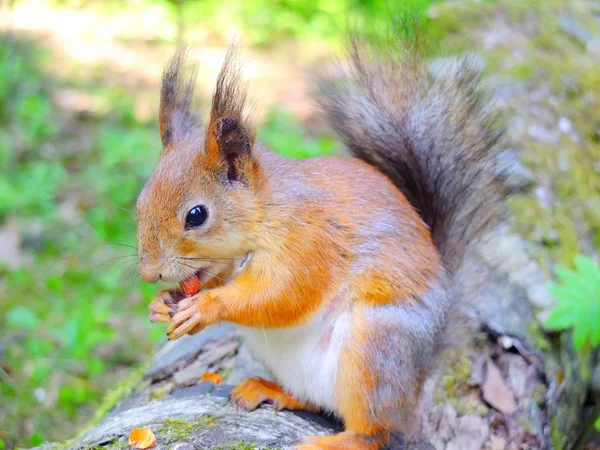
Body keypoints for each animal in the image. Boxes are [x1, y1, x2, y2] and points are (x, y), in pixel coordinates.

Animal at [135, 23, 502, 450]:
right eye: (141, 200)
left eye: (196, 215)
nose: (150, 274)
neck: (266, 212)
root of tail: (420, 375)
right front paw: (164, 302)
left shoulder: (310, 243)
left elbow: (282, 294)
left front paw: (206, 307)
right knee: (316, 401)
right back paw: (269, 390)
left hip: (374, 349)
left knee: (373, 431)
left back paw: (333, 441)